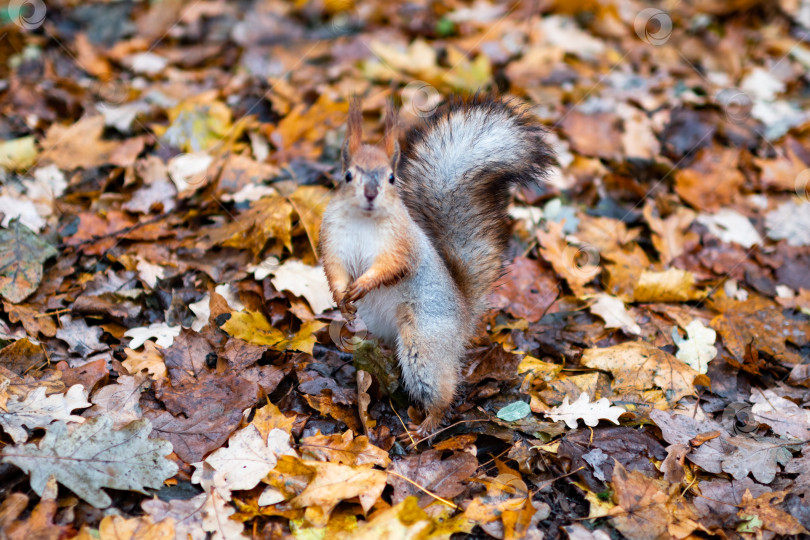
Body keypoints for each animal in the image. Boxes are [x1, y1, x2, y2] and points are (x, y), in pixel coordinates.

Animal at [318, 96, 552, 434]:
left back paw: (427, 425)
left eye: (391, 177)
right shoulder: (332, 241)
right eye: (348, 176)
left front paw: (362, 284)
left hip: (424, 345)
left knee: (442, 392)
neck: (364, 220)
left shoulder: (401, 245)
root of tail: (465, 316)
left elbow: (390, 267)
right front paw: (342, 301)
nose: (371, 194)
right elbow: (334, 271)